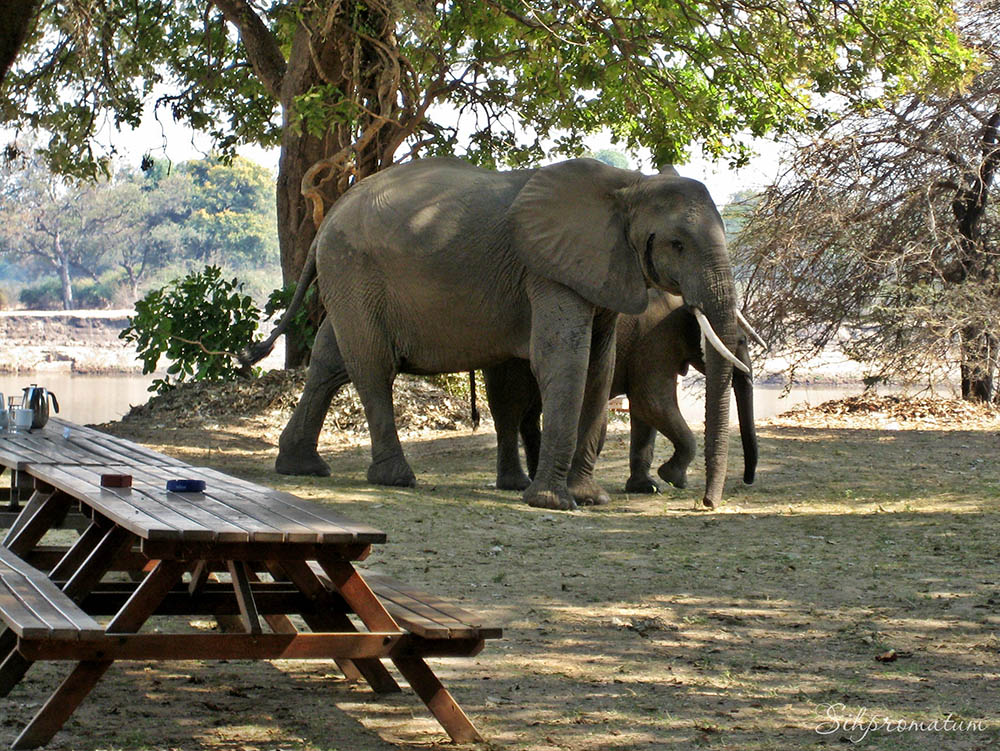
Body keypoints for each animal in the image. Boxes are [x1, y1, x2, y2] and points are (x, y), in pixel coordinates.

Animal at [484, 290, 756, 496]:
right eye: (741, 342)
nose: (748, 479)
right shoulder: (656, 337)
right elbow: (652, 403)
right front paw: (672, 478)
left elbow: (644, 412)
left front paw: (646, 488)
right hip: (506, 354)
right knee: (510, 408)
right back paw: (517, 484)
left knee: (530, 412)